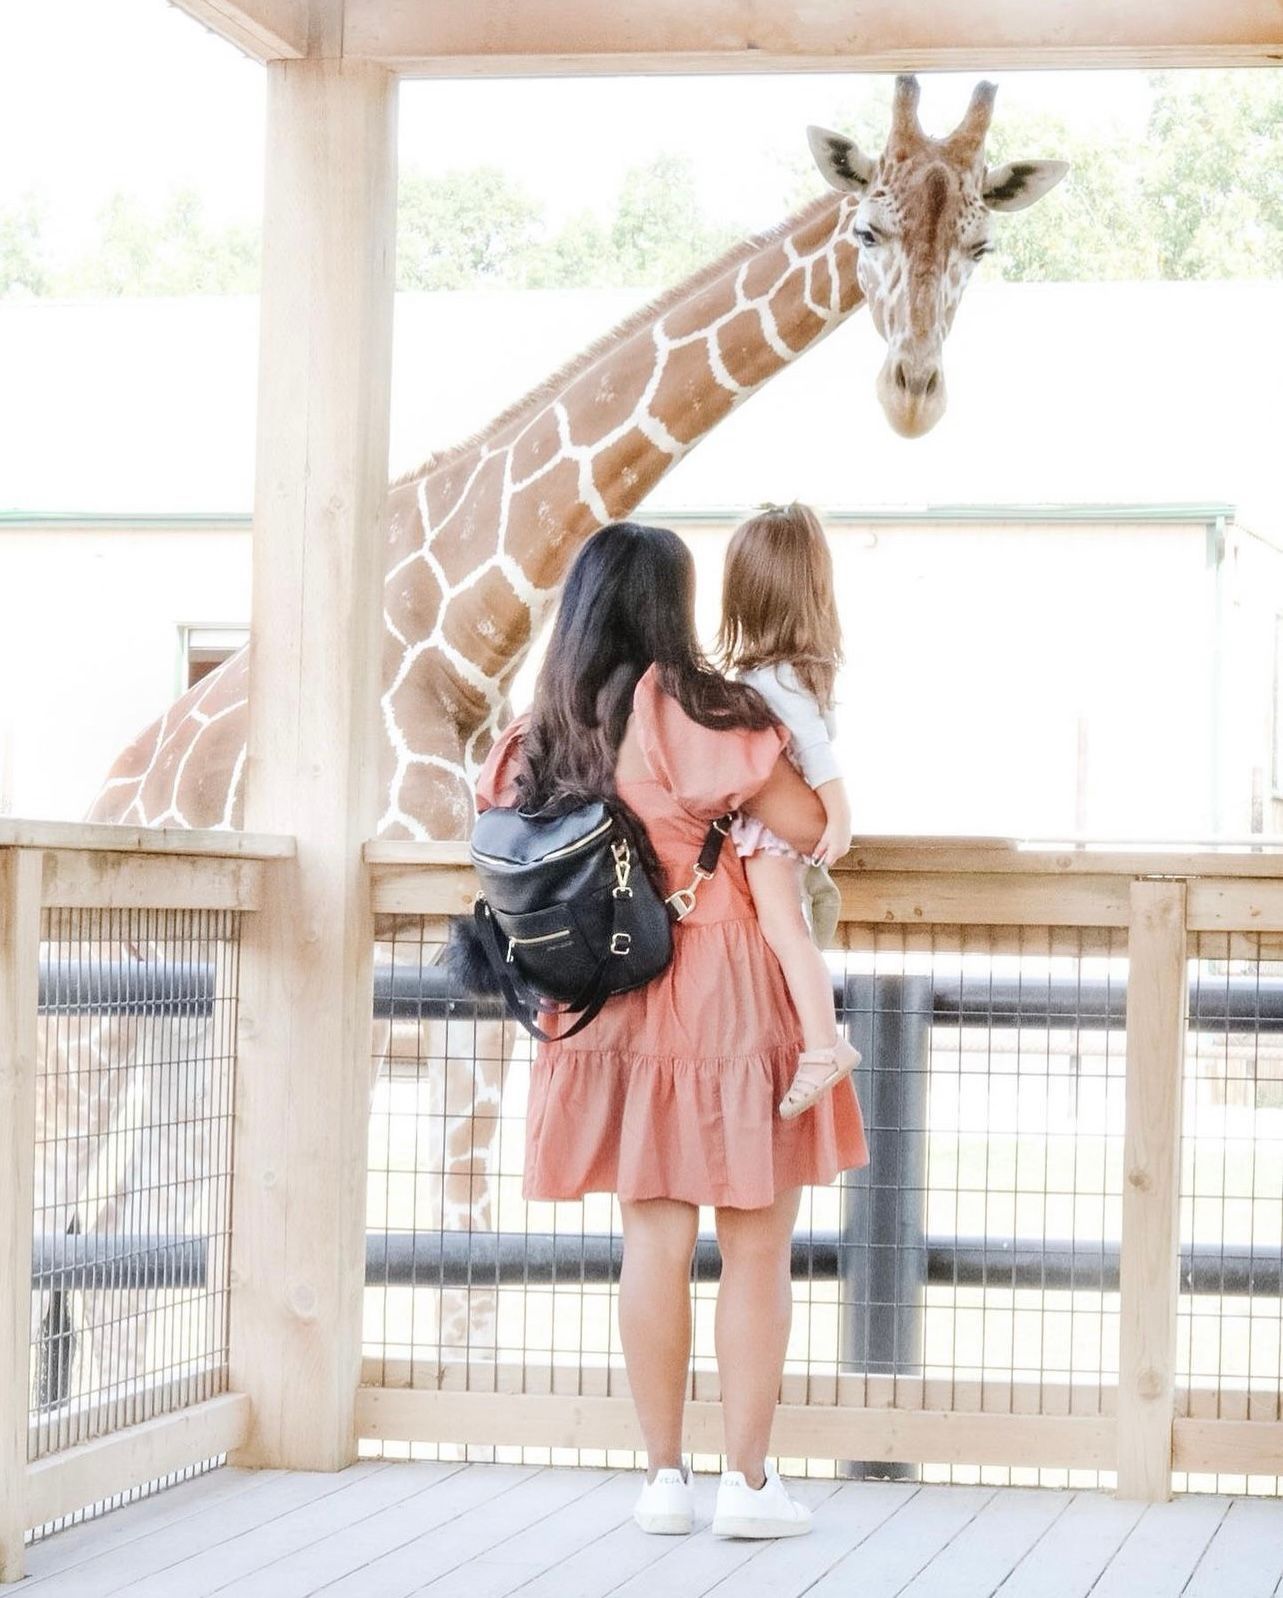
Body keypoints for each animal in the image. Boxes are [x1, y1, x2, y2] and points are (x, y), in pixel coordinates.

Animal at [68, 76, 1065, 1399]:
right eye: (864, 227)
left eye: (981, 244)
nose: (912, 387)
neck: (464, 621)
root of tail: (109, 786)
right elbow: (456, 1255)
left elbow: (470, 1265)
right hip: (100, 1015)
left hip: (186, 1025)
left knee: (131, 1250)